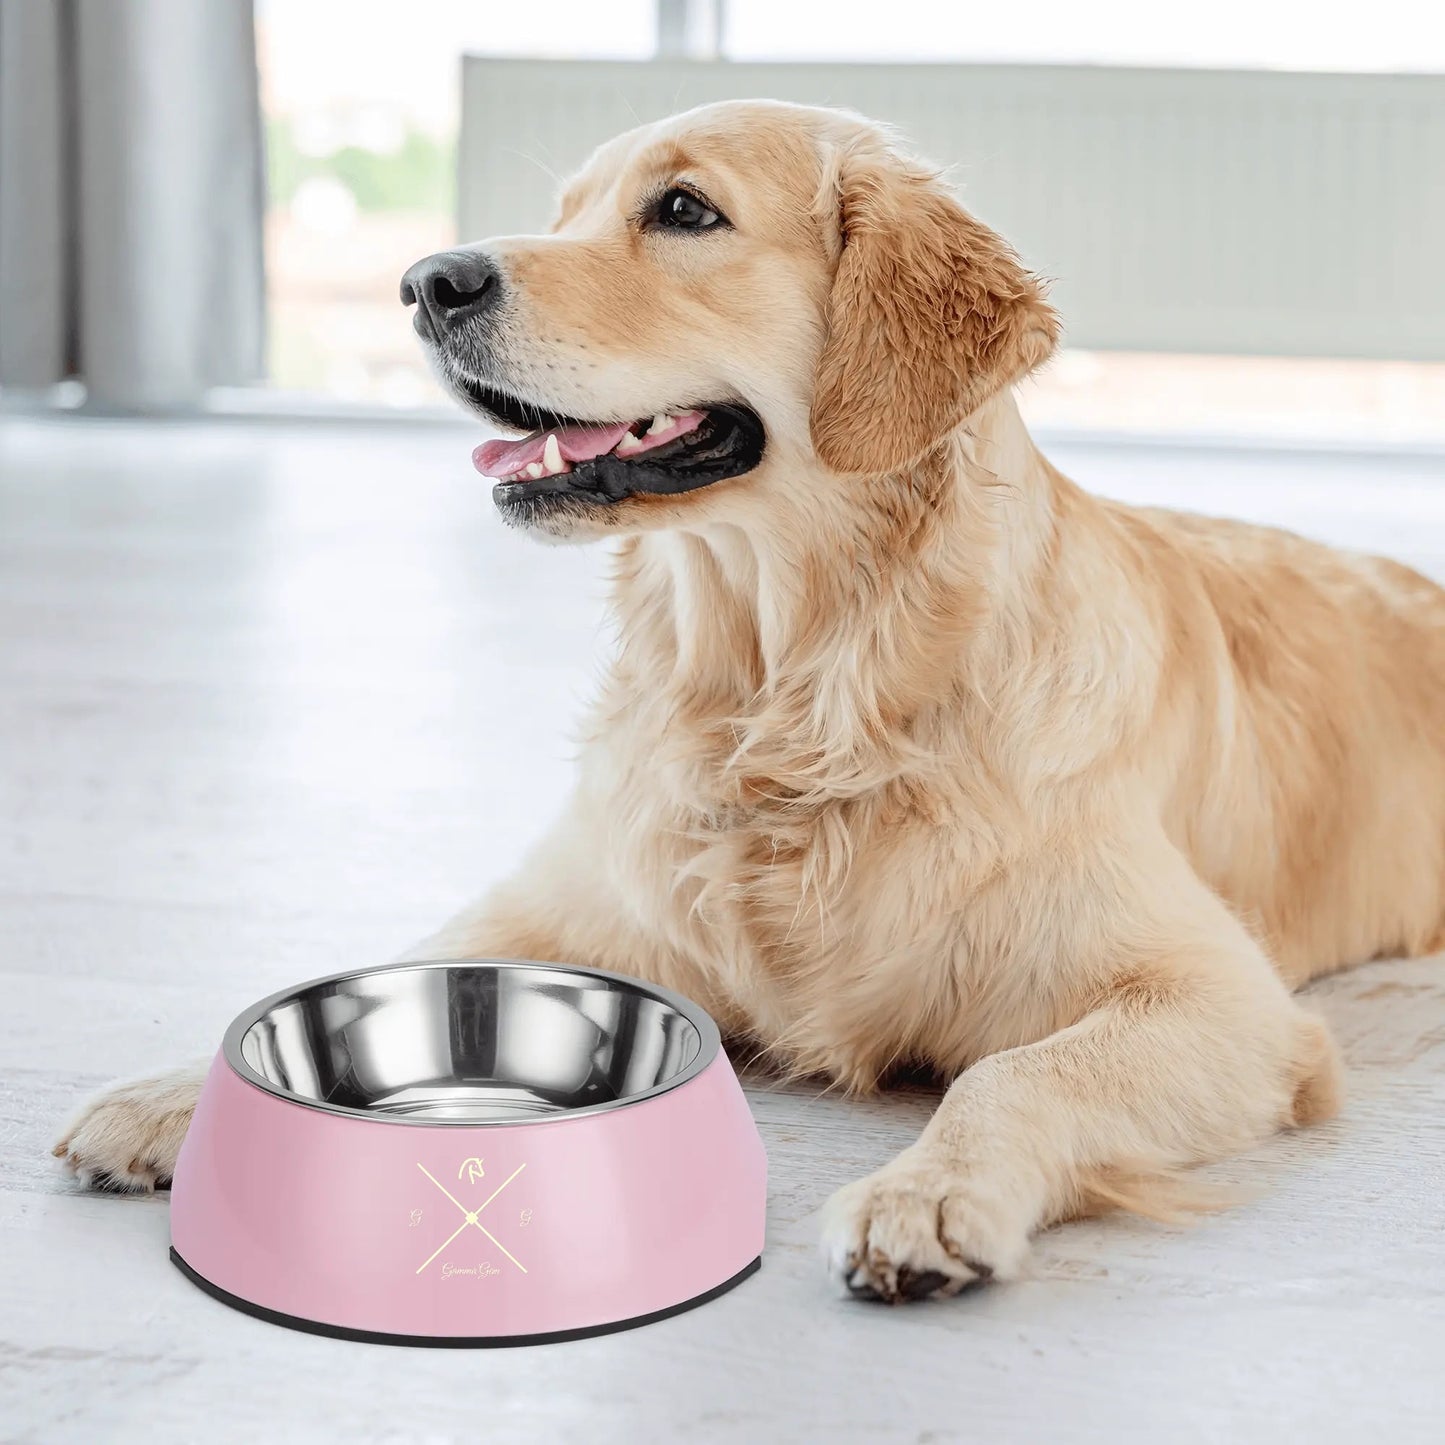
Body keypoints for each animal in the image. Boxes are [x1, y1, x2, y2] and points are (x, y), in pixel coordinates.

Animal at [53, 98, 1445, 1300]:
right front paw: (176, 1092)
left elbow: (1011, 1073)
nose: (426, 282)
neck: (792, 692)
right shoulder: (571, 898)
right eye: (564, 209)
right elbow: (393, 963)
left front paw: (928, 1193)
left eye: (683, 210)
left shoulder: (1223, 1003)